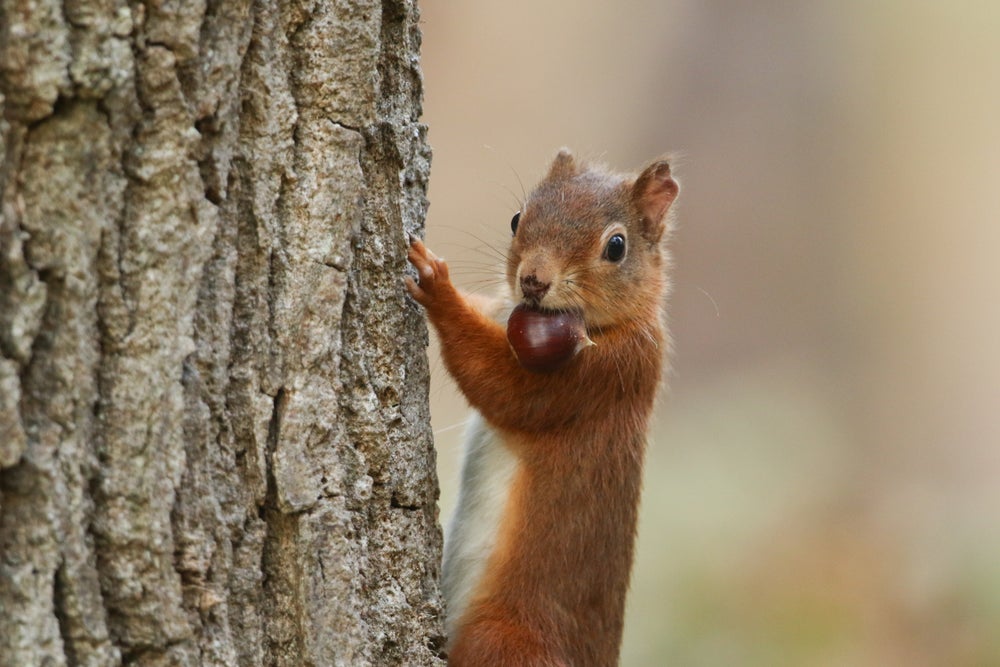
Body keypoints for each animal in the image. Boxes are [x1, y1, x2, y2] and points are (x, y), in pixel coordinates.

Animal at [406, 149, 679, 666]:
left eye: (617, 246)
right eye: (517, 219)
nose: (533, 280)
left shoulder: (599, 377)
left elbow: (505, 390)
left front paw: (438, 288)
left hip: (501, 640)